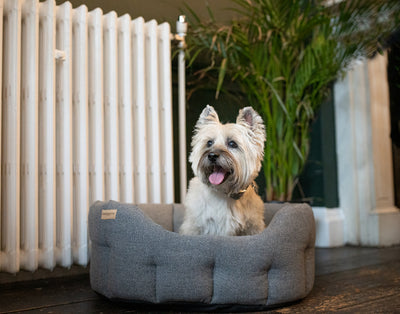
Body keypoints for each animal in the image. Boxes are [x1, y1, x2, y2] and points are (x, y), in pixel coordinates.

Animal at [180, 105, 268, 236]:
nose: (212, 156)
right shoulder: (194, 226)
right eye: (209, 142)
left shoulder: (253, 227)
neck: (225, 193)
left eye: (232, 143)